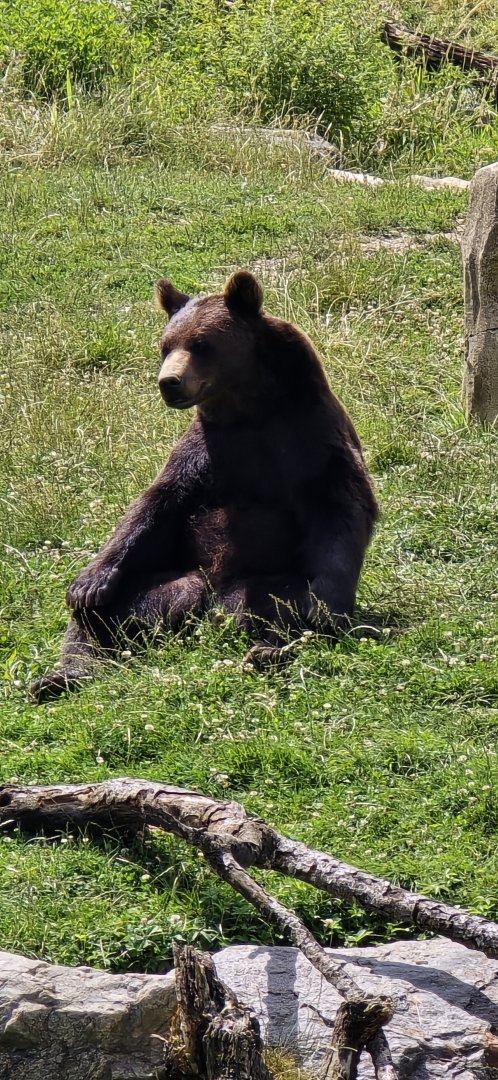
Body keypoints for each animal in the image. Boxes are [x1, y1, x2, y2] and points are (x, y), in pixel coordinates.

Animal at [30, 270, 378, 702]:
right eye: (165, 345)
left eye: (200, 343)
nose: (169, 382)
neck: (250, 408)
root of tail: (210, 607)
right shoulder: (207, 451)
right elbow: (154, 506)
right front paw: (88, 583)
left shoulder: (310, 437)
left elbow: (342, 509)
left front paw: (327, 607)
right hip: (162, 584)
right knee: (99, 615)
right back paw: (63, 673)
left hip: (262, 584)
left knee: (285, 605)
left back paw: (270, 650)